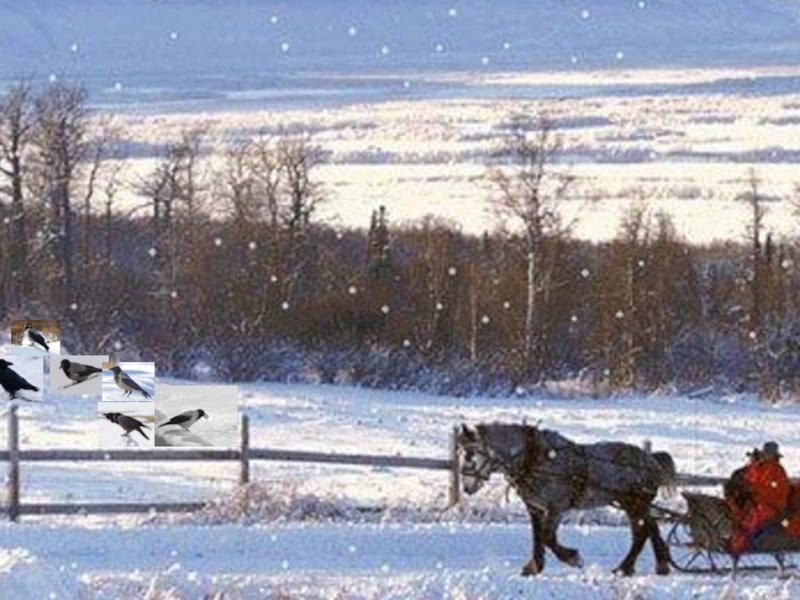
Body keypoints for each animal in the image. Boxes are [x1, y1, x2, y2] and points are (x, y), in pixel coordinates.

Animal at [456, 422, 676, 576]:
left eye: (471, 453)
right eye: (463, 452)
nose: (467, 486)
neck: (534, 458)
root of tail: (652, 460)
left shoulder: (556, 508)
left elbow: (547, 537)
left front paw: (572, 558)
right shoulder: (535, 509)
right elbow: (537, 537)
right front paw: (533, 567)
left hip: (636, 503)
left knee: (642, 532)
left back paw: (628, 568)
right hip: (632, 504)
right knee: (649, 528)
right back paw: (653, 565)